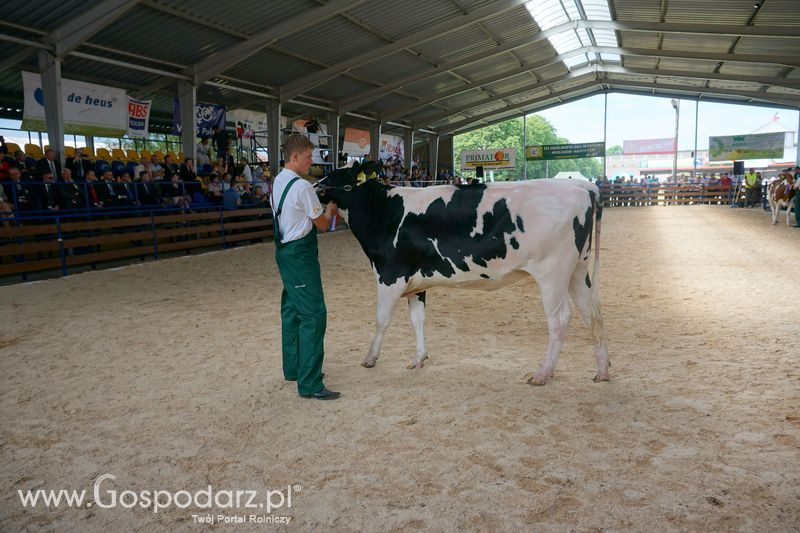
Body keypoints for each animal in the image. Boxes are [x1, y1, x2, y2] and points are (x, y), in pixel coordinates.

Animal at [322, 164, 608, 384]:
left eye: (337, 176)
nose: (316, 187)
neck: (383, 211)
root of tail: (583, 187)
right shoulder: (416, 282)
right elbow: (417, 320)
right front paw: (418, 359)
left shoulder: (390, 275)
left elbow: (381, 319)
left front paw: (370, 358)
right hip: (577, 271)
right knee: (592, 313)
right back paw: (602, 371)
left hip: (553, 272)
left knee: (560, 319)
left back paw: (543, 373)